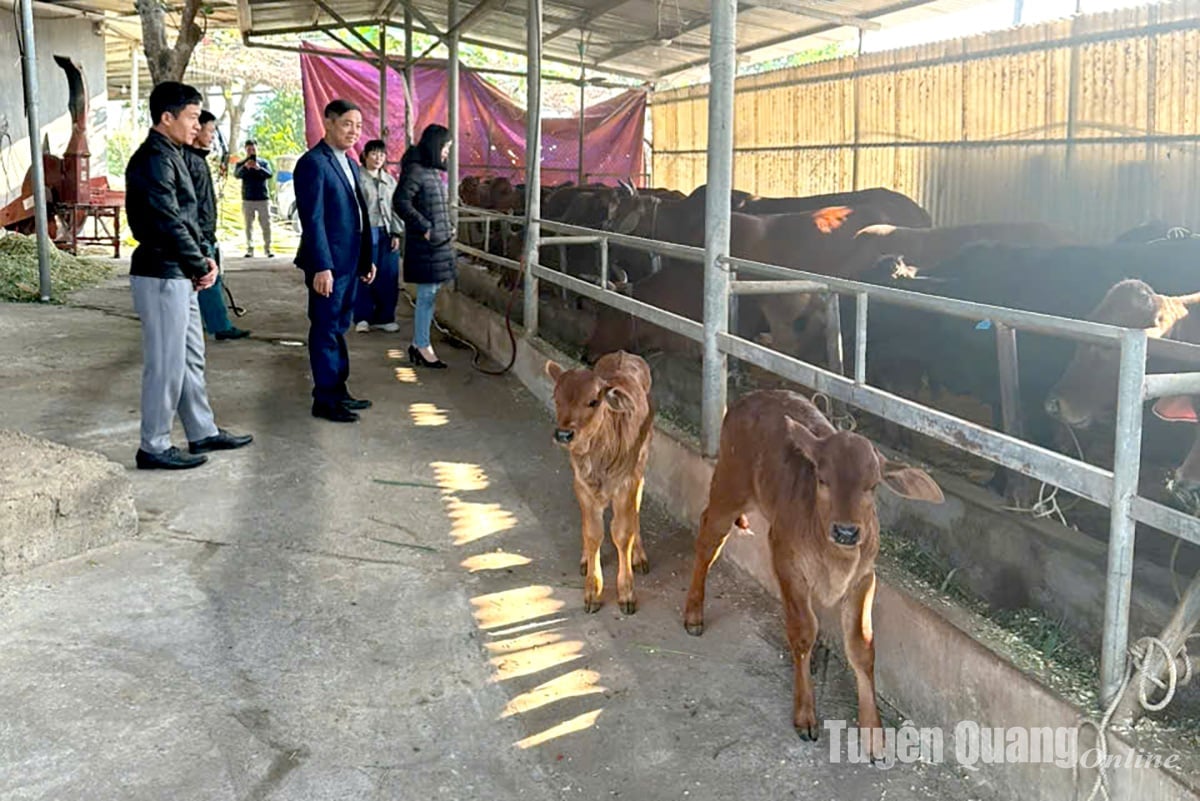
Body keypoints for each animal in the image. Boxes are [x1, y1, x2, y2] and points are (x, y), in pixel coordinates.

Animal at [547, 350, 652, 613]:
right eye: (556, 398)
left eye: (593, 401)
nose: (563, 434)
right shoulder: (582, 484)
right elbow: (592, 532)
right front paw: (593, 591)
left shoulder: (627, 483)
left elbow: (622, 533)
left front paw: (626, 594)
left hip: (641, 467)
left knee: (636, 508)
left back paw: (639, 556)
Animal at [681, 390, 940, 762]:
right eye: (822, 479)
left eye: (873, 486)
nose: (846, 531)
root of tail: (750, 397)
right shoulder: (787, 561)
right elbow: (803, 630)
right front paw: (805, 714)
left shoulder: (864, 578)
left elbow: (862, 646)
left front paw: (874, 734)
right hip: (728, 487)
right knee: (707, 540)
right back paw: (693, 613)